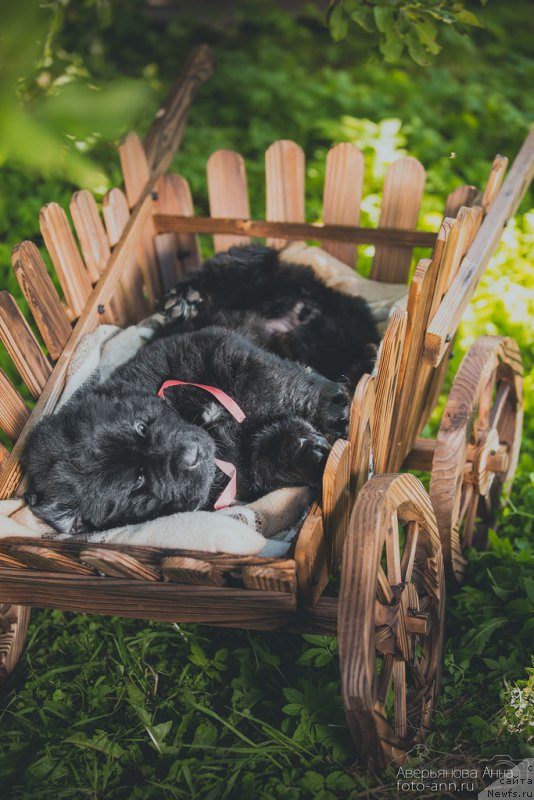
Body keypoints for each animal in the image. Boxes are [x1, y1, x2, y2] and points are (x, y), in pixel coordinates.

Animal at [22, 244, 382, 532]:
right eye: (137, 481)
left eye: (140, 427)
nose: (190, 455)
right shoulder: (245, 476)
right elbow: (269, 451)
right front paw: (311, 454)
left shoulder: (212, 345)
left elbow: (276, 383)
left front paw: (330, 408)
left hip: (256, 274)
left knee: (235, 265)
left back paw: (186, 297)